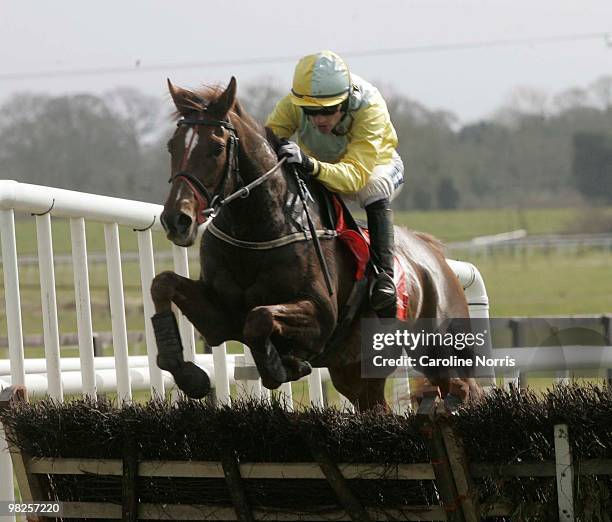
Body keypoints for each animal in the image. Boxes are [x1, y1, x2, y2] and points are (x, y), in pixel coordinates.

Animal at [151, 77, 480, 410]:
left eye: (216, 148)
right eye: (171, 145)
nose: (177, 219)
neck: (256, 232)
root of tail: (436, 258)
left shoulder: (320, 316)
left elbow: (260, 317)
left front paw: (279, 365)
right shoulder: (220, 318)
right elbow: (162, 283)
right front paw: (188, 374)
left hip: (441, 351)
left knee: (464, 388)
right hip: (356, 370)